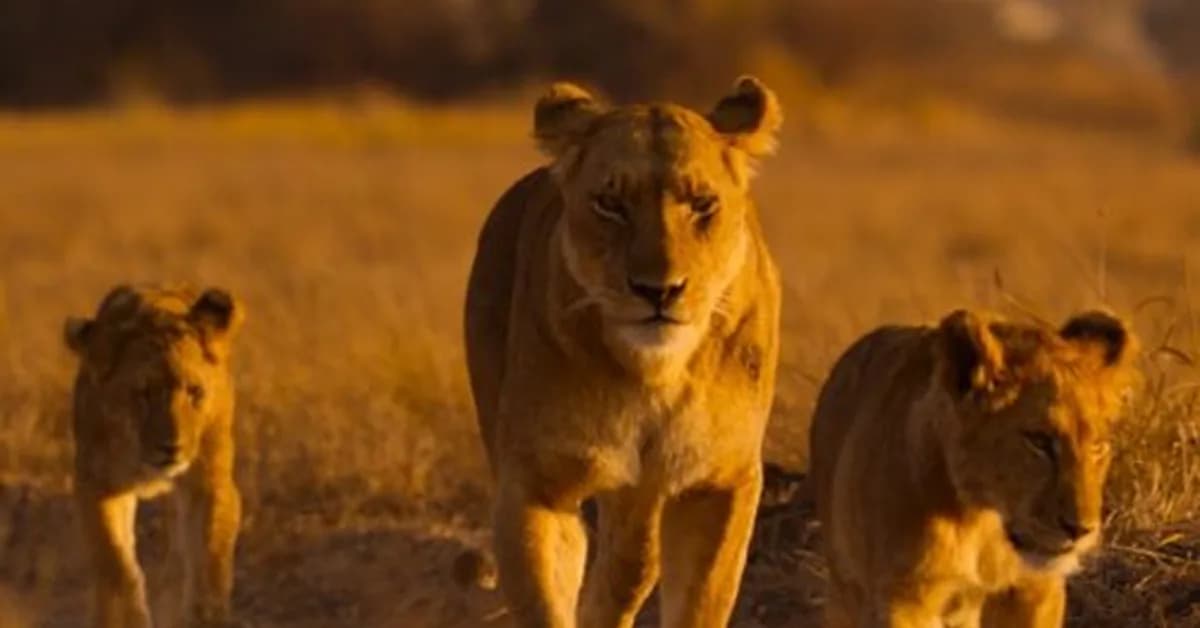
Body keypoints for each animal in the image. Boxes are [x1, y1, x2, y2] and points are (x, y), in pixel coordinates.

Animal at [65, 284, 244, 628]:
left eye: (195, 392)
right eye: (144, 393)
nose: (171, 447)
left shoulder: (209, 482)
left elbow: (209, 558)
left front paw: (206, 614)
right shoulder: (96, 483)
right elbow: (116, 563)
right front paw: (130, 616)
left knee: (178, 559)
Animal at [463, 76, 783, 627]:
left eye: (702, 203)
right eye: (610, 204)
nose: (659, 290)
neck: (653, 372)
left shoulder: (720, 481)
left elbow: (700, 602)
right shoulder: (536, 482)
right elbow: (544, 600)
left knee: (631, 564)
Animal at [810, 309, 1137, 628]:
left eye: (1098, 446)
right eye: (1039, 441)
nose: (1081, 530)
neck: (984, 519)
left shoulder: (1035, 590)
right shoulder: (902, 599)